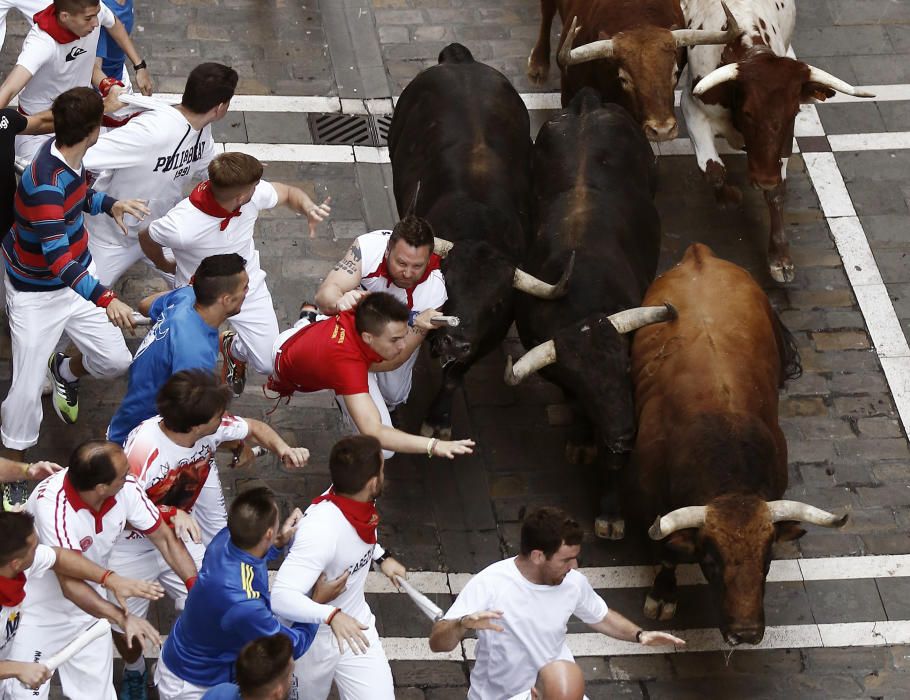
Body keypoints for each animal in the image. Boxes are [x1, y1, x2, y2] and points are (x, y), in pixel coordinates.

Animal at [388, 42, 572, 438]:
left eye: (495, 303)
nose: (454, 342)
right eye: (448, 287)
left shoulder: (484, 340)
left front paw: (438, 419)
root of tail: (462, 60)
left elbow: (454, 377)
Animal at [502, 87, 672, 536]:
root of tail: (587, 102)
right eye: (585, 384)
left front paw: (610, 513)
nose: (625, 435)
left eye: (626, 367)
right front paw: (581, 441)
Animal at [524, 0, 744, 141]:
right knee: (547, 11)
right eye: (624, 79)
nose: (662, 131)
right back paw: (538, 65)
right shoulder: (569, 93)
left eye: (675, 73)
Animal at [628, 245, 848, 644]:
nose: (745, 633)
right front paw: (663, 594)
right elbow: (667, 552)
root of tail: (699, 254)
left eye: (768, 560)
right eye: (711, 561)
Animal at [684, 0, 876, 282]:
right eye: (748, 112)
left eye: (793, 111)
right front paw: (728, 198)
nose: (764, 178)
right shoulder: (693, 110)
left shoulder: (783, 142)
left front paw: (780, 258)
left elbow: (776, 193)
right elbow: (713, 170)